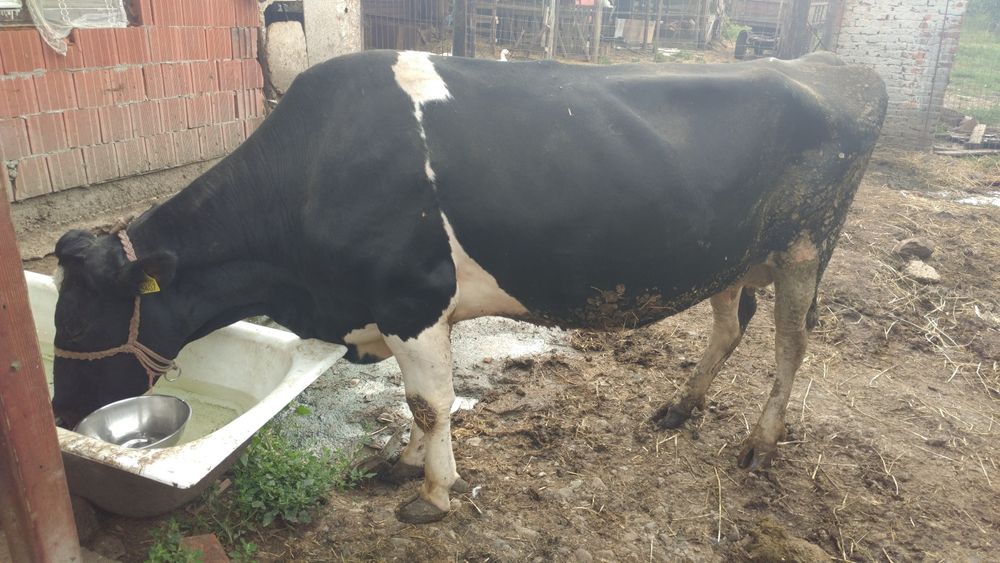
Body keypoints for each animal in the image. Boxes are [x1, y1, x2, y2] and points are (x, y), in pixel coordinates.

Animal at [49, 50, 886, 523]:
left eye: (82, 324)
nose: (58, 411)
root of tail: (831, 66)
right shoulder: (392, 313)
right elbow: (414, 402)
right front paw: (403, 462)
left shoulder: (413, 298)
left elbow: (430, 399)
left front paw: (434, 493)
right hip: (731, 253)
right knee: (730, 322)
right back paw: (680, 407)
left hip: (807, 246)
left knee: (792, 340)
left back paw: (760, 440)